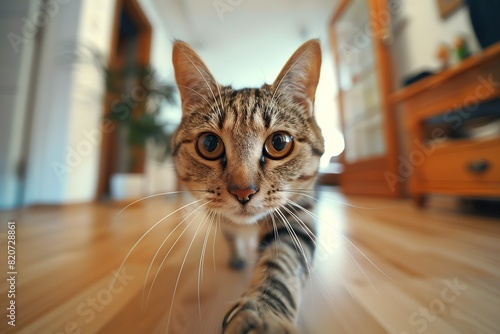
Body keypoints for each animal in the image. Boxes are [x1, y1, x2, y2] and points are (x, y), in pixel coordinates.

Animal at [172, 37, 324, 332]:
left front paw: (265, 315)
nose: (243, 191)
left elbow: (282, 262)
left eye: (279, 143)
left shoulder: (297, 214)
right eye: (209, 144)